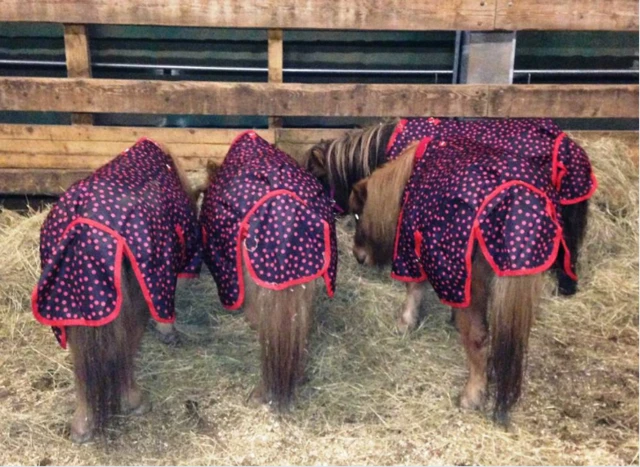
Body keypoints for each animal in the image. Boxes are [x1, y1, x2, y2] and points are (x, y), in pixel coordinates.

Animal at [350, 140, 580, 424]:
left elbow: (414, 289)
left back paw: (472, 395)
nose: (358, 256)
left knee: (478, 337)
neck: (409, 180)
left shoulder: (415, 252)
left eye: (358, 215)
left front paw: (405, 323)